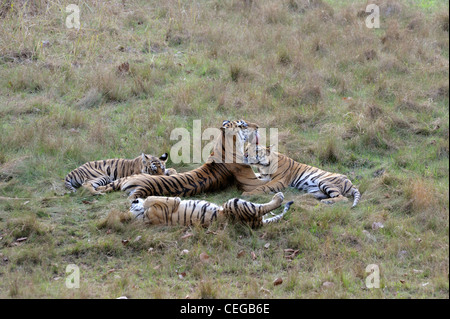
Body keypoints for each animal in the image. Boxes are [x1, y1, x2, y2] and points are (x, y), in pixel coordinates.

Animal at [90, 120, 268, 200]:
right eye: (243, 125)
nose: (258, 126)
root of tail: (143, 187)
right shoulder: (251, 182)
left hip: (120, 181)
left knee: (102, 187)